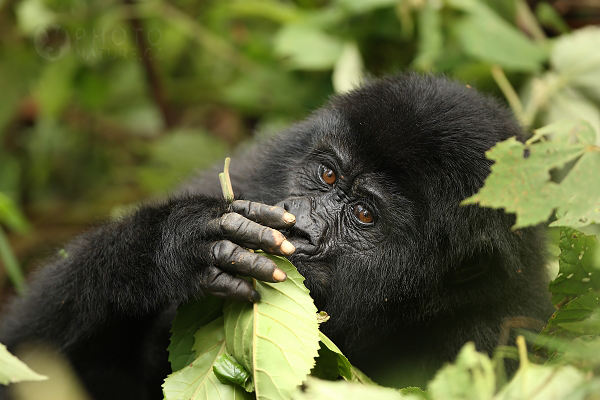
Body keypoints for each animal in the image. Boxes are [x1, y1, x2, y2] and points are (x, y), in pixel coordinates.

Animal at [0, 74, 552, 396]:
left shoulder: (505, 332)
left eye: (364, 215)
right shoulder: (250, 177)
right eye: (327, 175)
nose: (299, 225)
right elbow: (26, 351)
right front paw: (169, 245)